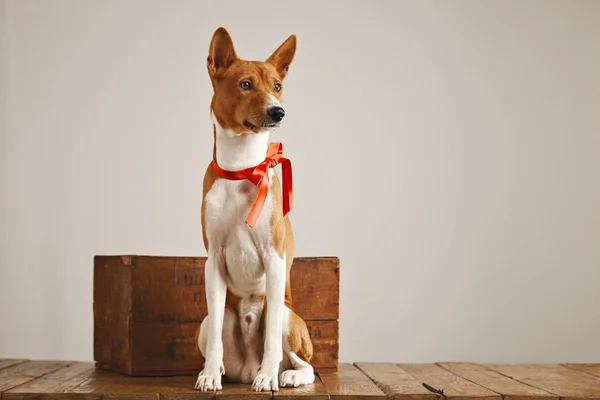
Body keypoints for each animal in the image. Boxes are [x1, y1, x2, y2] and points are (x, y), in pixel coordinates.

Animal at [195, 28, 316, 394]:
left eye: (277, 86)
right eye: (246, 84)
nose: (279, 112)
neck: (242, 169)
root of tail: (246, 367)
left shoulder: (274, 259)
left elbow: (272, 338)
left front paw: (268, 378)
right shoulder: (213, 262)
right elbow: (216, 337)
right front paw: (209, 375)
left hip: (291, 320)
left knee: (305, 364)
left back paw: (283, 375)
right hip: (210, 320)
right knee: (216, 332)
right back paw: (223, 370)